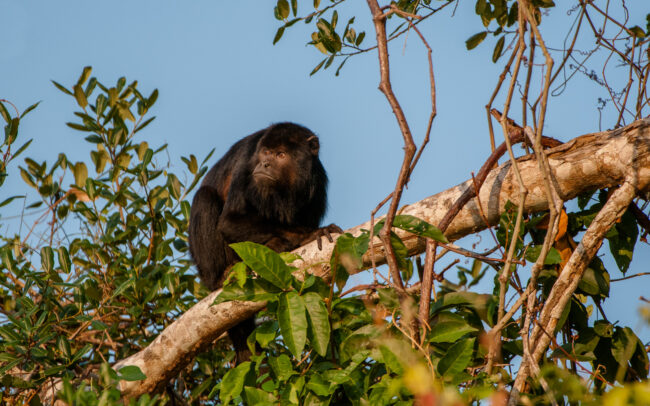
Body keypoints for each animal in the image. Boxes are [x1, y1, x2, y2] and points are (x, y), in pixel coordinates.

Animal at [188, 122, 342, 362]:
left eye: (281, 154)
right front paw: (306, 235)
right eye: (266, 152)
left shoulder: (317, 181)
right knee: (204, 197)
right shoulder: (248, 160)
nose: (265, 164)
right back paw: (223, 275)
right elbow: (229, 222)